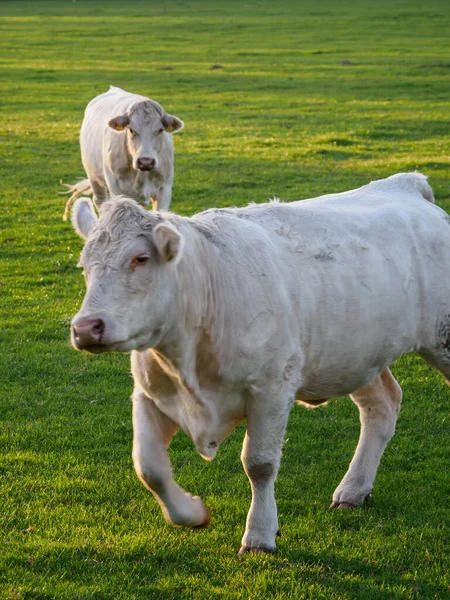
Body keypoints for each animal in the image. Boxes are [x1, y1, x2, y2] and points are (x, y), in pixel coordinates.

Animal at [62, 86, 184, 220]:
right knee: (100, 201)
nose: (145, 162)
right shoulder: (116, 187)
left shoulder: (164, 189)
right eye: (131, 129)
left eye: (160, 130)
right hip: (94, 178)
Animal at [68, 172, 448, 552]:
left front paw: (259, 534)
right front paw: (191, 513)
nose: (86, 327)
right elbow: (149, 467)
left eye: (140, 258)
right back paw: (354, 488)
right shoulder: (150, 394)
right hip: (354, 353)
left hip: (439, 339)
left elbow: (259, 464)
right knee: (381, 405)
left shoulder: (271, 388)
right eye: (84, 266)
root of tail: (406, 184)